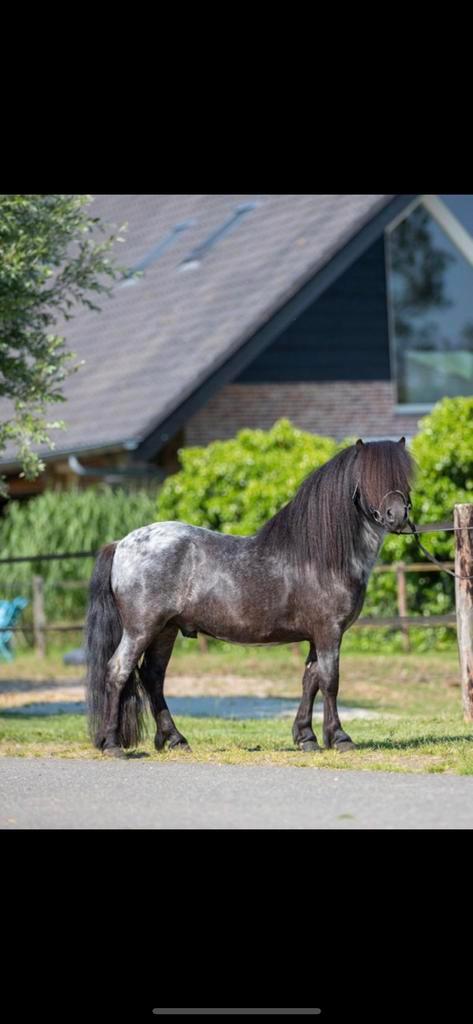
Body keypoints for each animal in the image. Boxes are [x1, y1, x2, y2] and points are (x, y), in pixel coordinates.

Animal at [85, 437, 414, 758]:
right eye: (370, 477)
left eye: (405, 477)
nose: (397, 516)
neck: (322, 558)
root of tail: (122, 543)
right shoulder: (328, 632)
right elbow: (330, 681)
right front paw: (340, 738)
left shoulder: (315, 636)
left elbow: (311, 680)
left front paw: (305, 737)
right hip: (141, 630)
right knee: (117, 672)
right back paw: (113, 744)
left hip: (165, 630)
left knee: (153, 677)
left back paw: (176, 739)